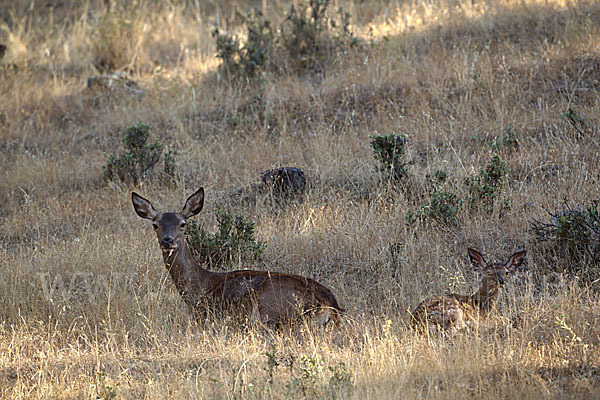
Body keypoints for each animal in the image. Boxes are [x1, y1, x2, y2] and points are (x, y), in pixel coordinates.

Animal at [134, 188, 344, 328]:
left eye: (183, 224)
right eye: (155, 225)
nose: (167, 240)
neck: (199, 289)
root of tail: (330, 307)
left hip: (268, 309)